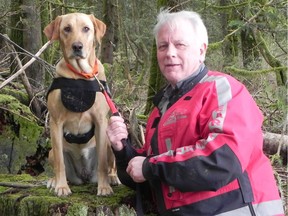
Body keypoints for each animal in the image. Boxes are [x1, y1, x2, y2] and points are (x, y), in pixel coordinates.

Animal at [43, 12, 119, 197]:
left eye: (86, 28)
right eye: (66, 29)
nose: (77, 46)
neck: (79, 75)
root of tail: (84, 176)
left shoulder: (101, 121)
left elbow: (102, 163)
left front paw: (104, 187)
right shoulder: (56, 122)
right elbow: (60, 163)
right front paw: (61, 186)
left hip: (110, 144)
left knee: (110, 163)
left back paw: (112, 177)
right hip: (51, 151)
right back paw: (54, 181)